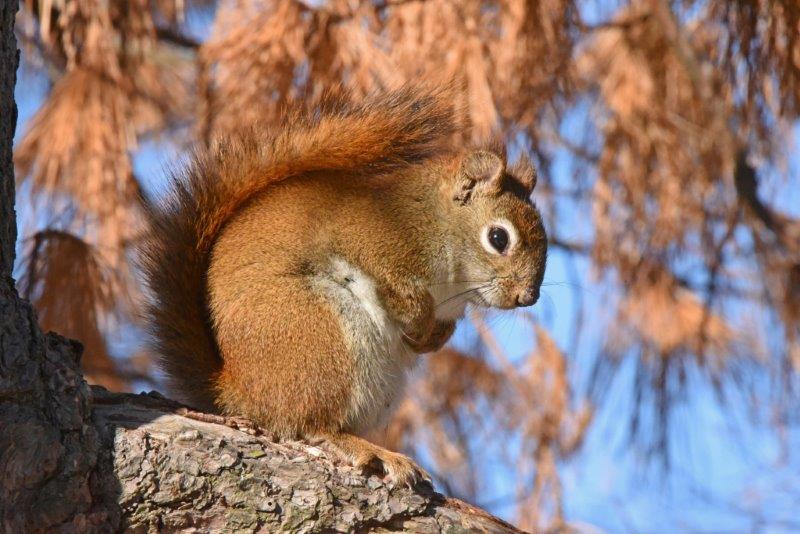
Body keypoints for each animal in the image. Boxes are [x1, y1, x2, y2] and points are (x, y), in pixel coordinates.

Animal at [139, 85, 547, 486]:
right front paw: (418, 324)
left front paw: (431, 340)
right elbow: (402, 291)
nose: (528, 297)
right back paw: (370, 451)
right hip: (320, 338)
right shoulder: (373, 240)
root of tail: (237, 388)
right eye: (498, 238)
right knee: (310, 425)